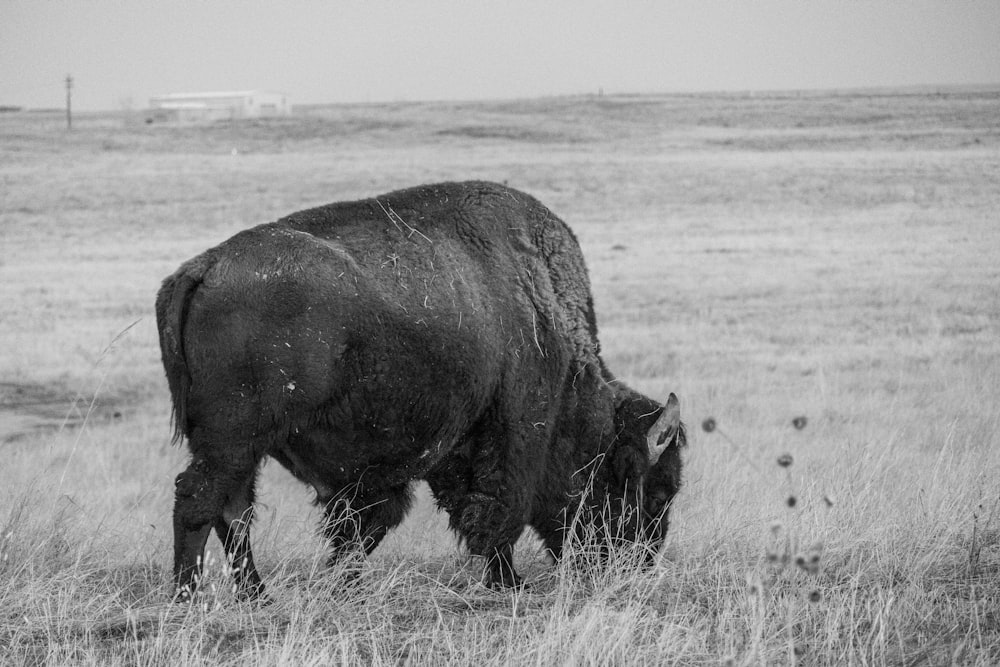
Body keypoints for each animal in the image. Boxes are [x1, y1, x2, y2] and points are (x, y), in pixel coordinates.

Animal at [156, 180, 684, 604]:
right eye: (657, 494)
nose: (638, 565)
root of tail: (204, 267)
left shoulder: (429, 455)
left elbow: (369, 525)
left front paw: (346, 585)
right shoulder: (514, 434)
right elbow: (496, 516)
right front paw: (511, 583)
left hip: (238, 447)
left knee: (233, 510)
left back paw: (256, 595)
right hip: (233, 438)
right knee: (199, 500)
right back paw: (188, 597)